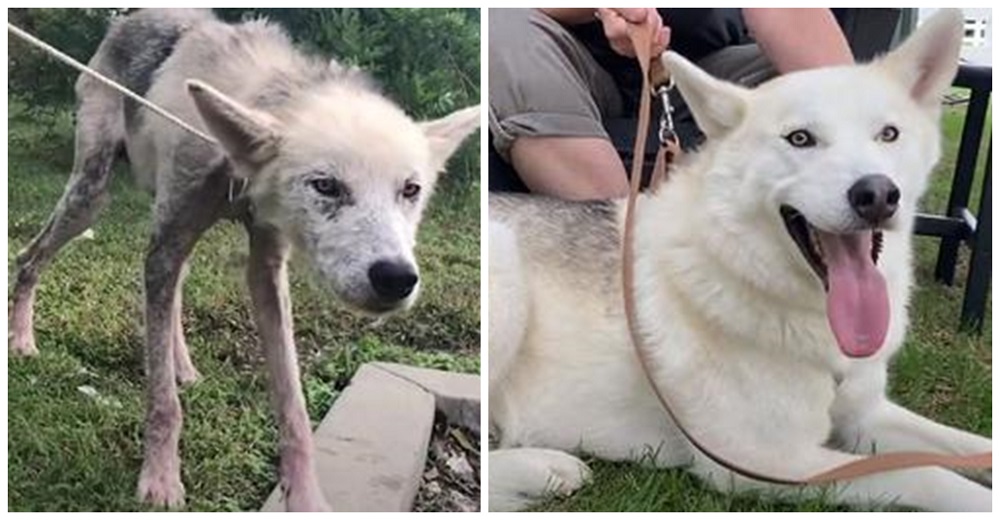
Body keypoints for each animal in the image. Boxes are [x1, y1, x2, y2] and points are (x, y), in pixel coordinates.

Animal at [488, 8, 988, 512]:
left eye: (888, 134)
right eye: (800, 138)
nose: (878, 195)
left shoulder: (866, 415)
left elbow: (967, 446)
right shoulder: (767, 461)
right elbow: (928, 474)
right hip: (505, 269)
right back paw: (541, 468)